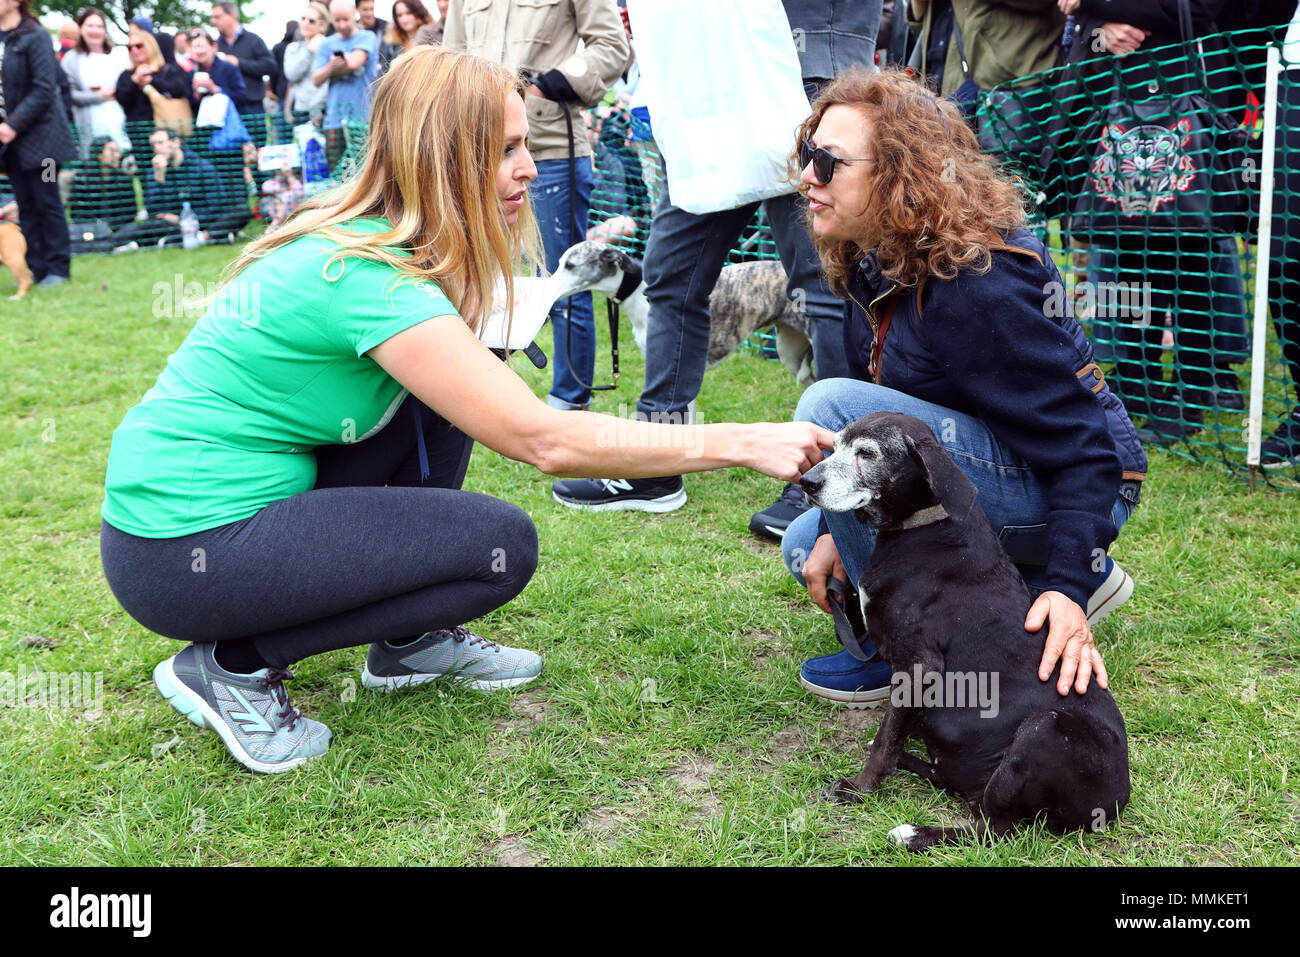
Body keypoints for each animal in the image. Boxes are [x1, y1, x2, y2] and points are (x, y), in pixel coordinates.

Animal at [800, 410, 1128, 852]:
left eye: (867, 454)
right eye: (833, 447)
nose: (807, 482)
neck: (925, 527)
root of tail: (1116, 801)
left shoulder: (919, 666)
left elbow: (886, 738)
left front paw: (860, 789)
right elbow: (893, 732)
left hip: (1043, 729)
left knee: (996, 830)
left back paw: (914, 833)